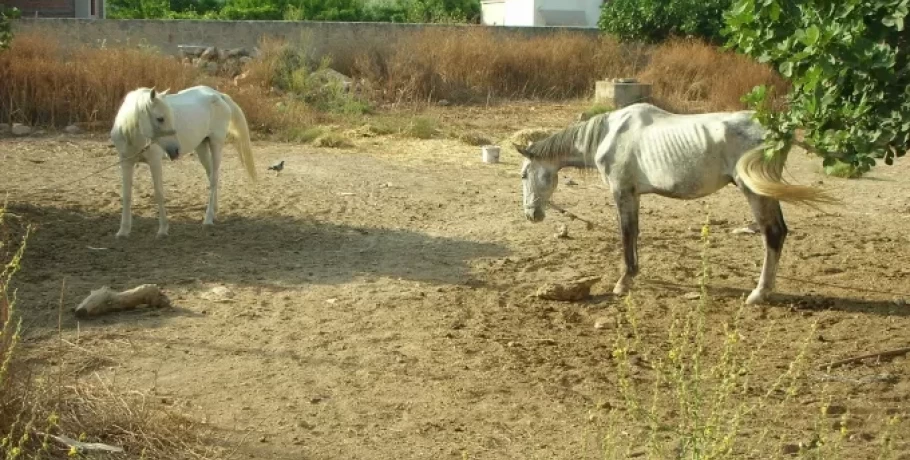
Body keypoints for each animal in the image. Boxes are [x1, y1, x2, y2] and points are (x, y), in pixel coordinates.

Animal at [113, 84, 260, 239]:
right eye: (160, 118)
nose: (175, 150)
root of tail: (218, 95)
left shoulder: (155, 162)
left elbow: (159, 194)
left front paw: (163, 230)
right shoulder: (126, 163)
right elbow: (126, 195)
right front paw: (123, 231)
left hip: (216, 144)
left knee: (214, 178)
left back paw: (208, 219)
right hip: (201, 146)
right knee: (210, 175)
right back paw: (214, 211)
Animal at [520, 104, 840, 306]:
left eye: (524, 174)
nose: (531, 214)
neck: (609, 135)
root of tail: (778, 128)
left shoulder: (622, 192)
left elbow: (626, 235)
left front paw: (623, 282)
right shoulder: (634, 194)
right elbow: (635, 234)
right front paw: (633, 275)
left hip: (754, 191)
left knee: (772, 233)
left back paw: (758, 294)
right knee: (780, 232)